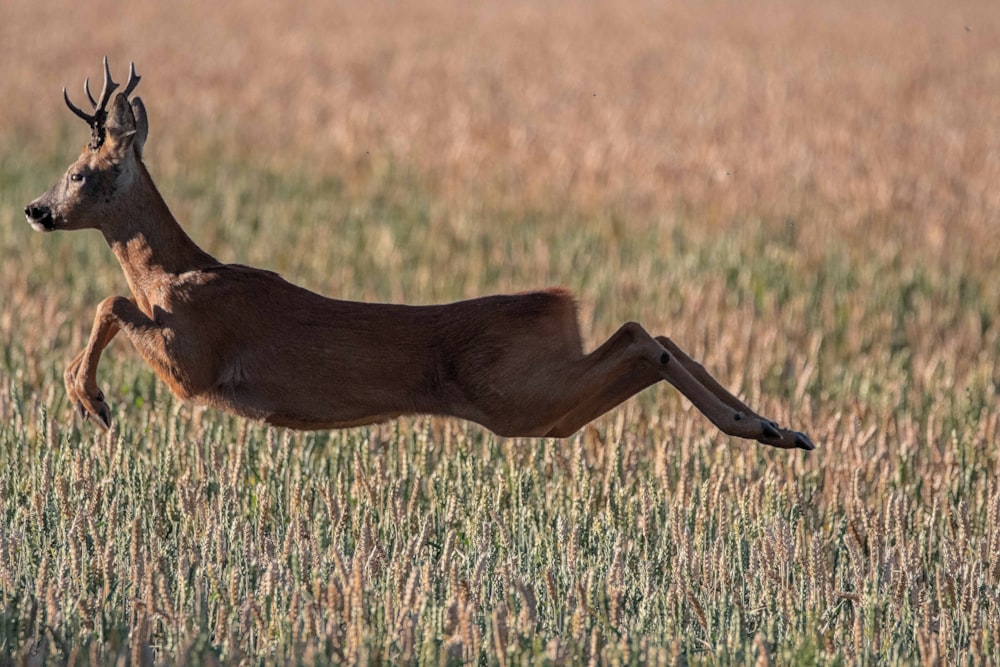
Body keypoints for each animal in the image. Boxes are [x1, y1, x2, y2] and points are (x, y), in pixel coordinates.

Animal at [23, 60, 816, 452]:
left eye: (80, 172)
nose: (35, 210)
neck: (174, 270)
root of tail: (556, 301)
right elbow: (111, 301)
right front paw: (86, 398)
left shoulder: (195, 363)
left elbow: (110, 300)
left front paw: (90, 401)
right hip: (536, 399)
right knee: (653, 334)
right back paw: (783, 430)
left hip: (517, 395)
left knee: (643, 342)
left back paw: (764, 429)